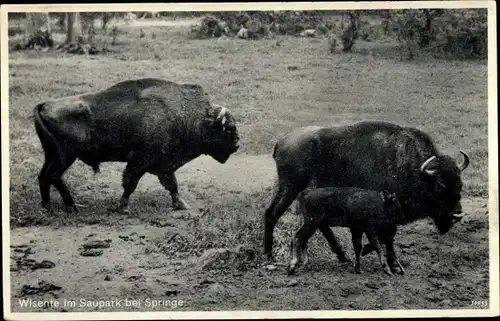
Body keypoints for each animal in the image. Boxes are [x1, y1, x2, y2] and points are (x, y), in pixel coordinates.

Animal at [33, 77, 240, 212]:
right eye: (229, 129)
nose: (237, 144)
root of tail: (44, 105)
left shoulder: (164, 165)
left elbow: (172, 185)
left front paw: (181, 205)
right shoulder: (140, 161)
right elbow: (130, 183)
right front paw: (123, 207)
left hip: (52, 155)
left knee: (45, 176)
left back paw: (49, 206)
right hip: (65, 156)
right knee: (53, 176)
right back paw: (70, 206)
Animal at [264, 120, 470, 272]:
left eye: (460, 184)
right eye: (439, 186)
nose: (457, 215)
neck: (412, 168)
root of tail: (281, 142)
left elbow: (385, 237)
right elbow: (387, 238)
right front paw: (393, 264)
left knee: (315, 223)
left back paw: (342, 256)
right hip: (291, 186)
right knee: (272, 214)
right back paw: (268, 255)